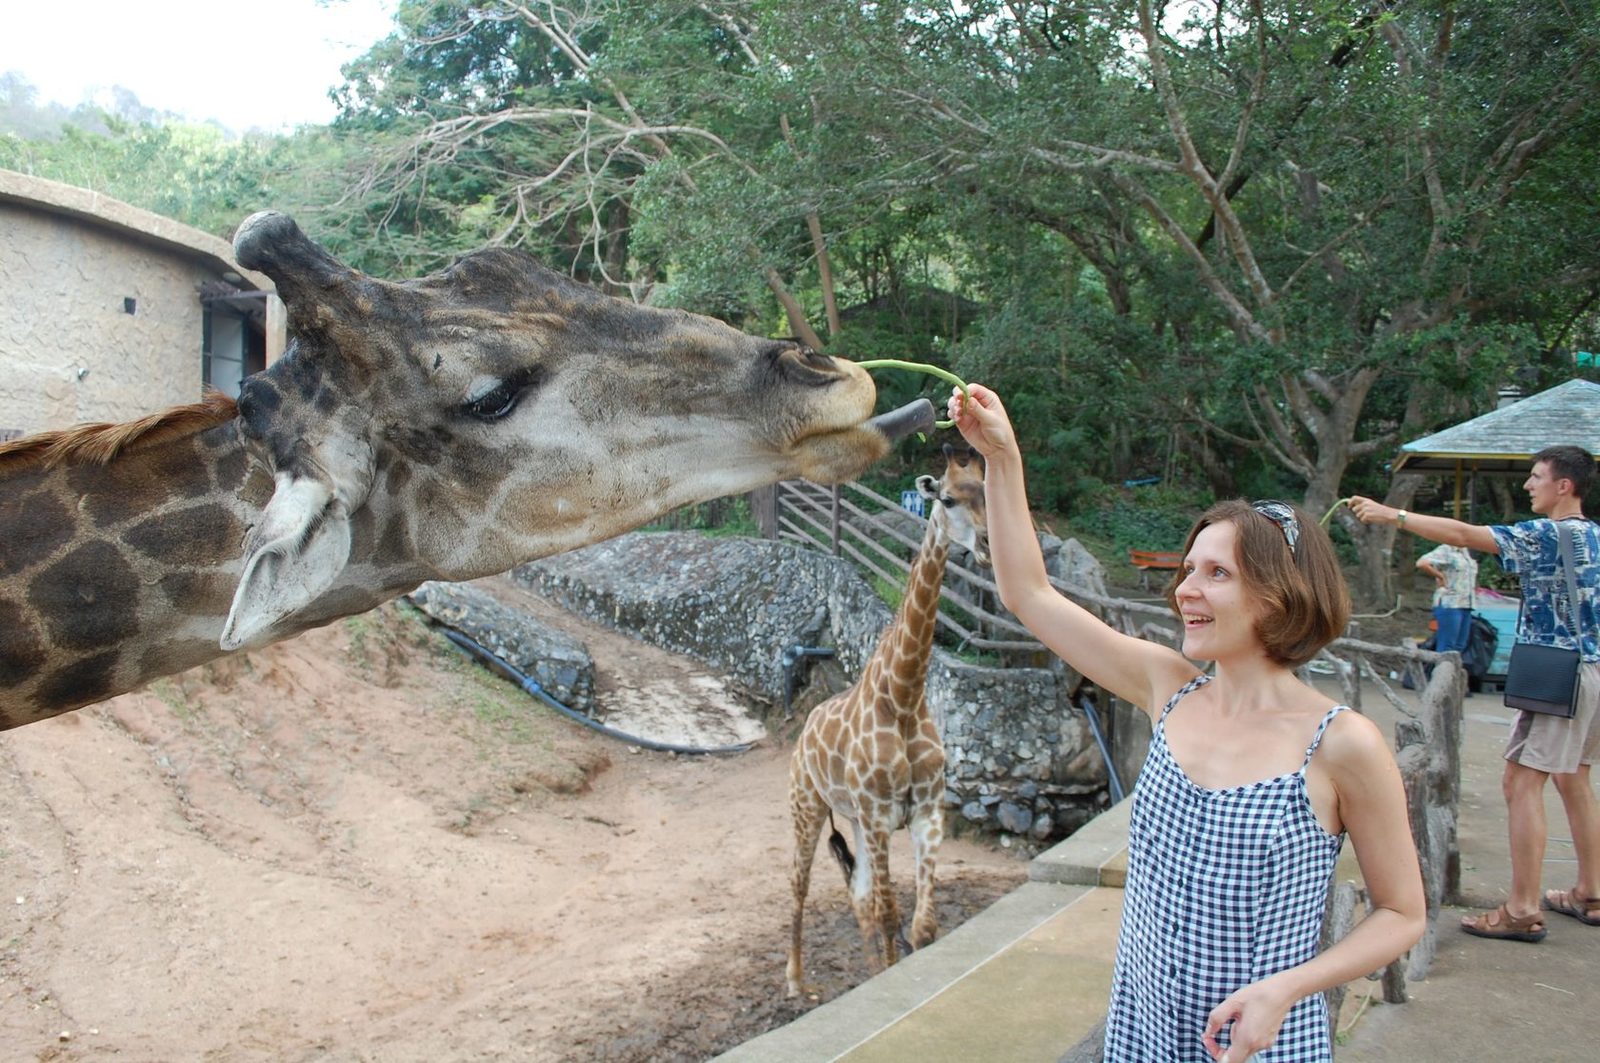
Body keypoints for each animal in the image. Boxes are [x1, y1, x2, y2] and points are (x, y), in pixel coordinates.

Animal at [787, 438, 985, 998]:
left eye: (985, 492)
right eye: (948, 499)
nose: (986, 545)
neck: (903, 696)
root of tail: (802, 733)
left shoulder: (926, 811)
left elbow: (921, 924)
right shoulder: (879, 815)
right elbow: (890, 911)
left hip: (851, 819)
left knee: (857, 896)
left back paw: (869, 972)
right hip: (806, 807)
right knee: (800, 887)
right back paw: (795, 983)